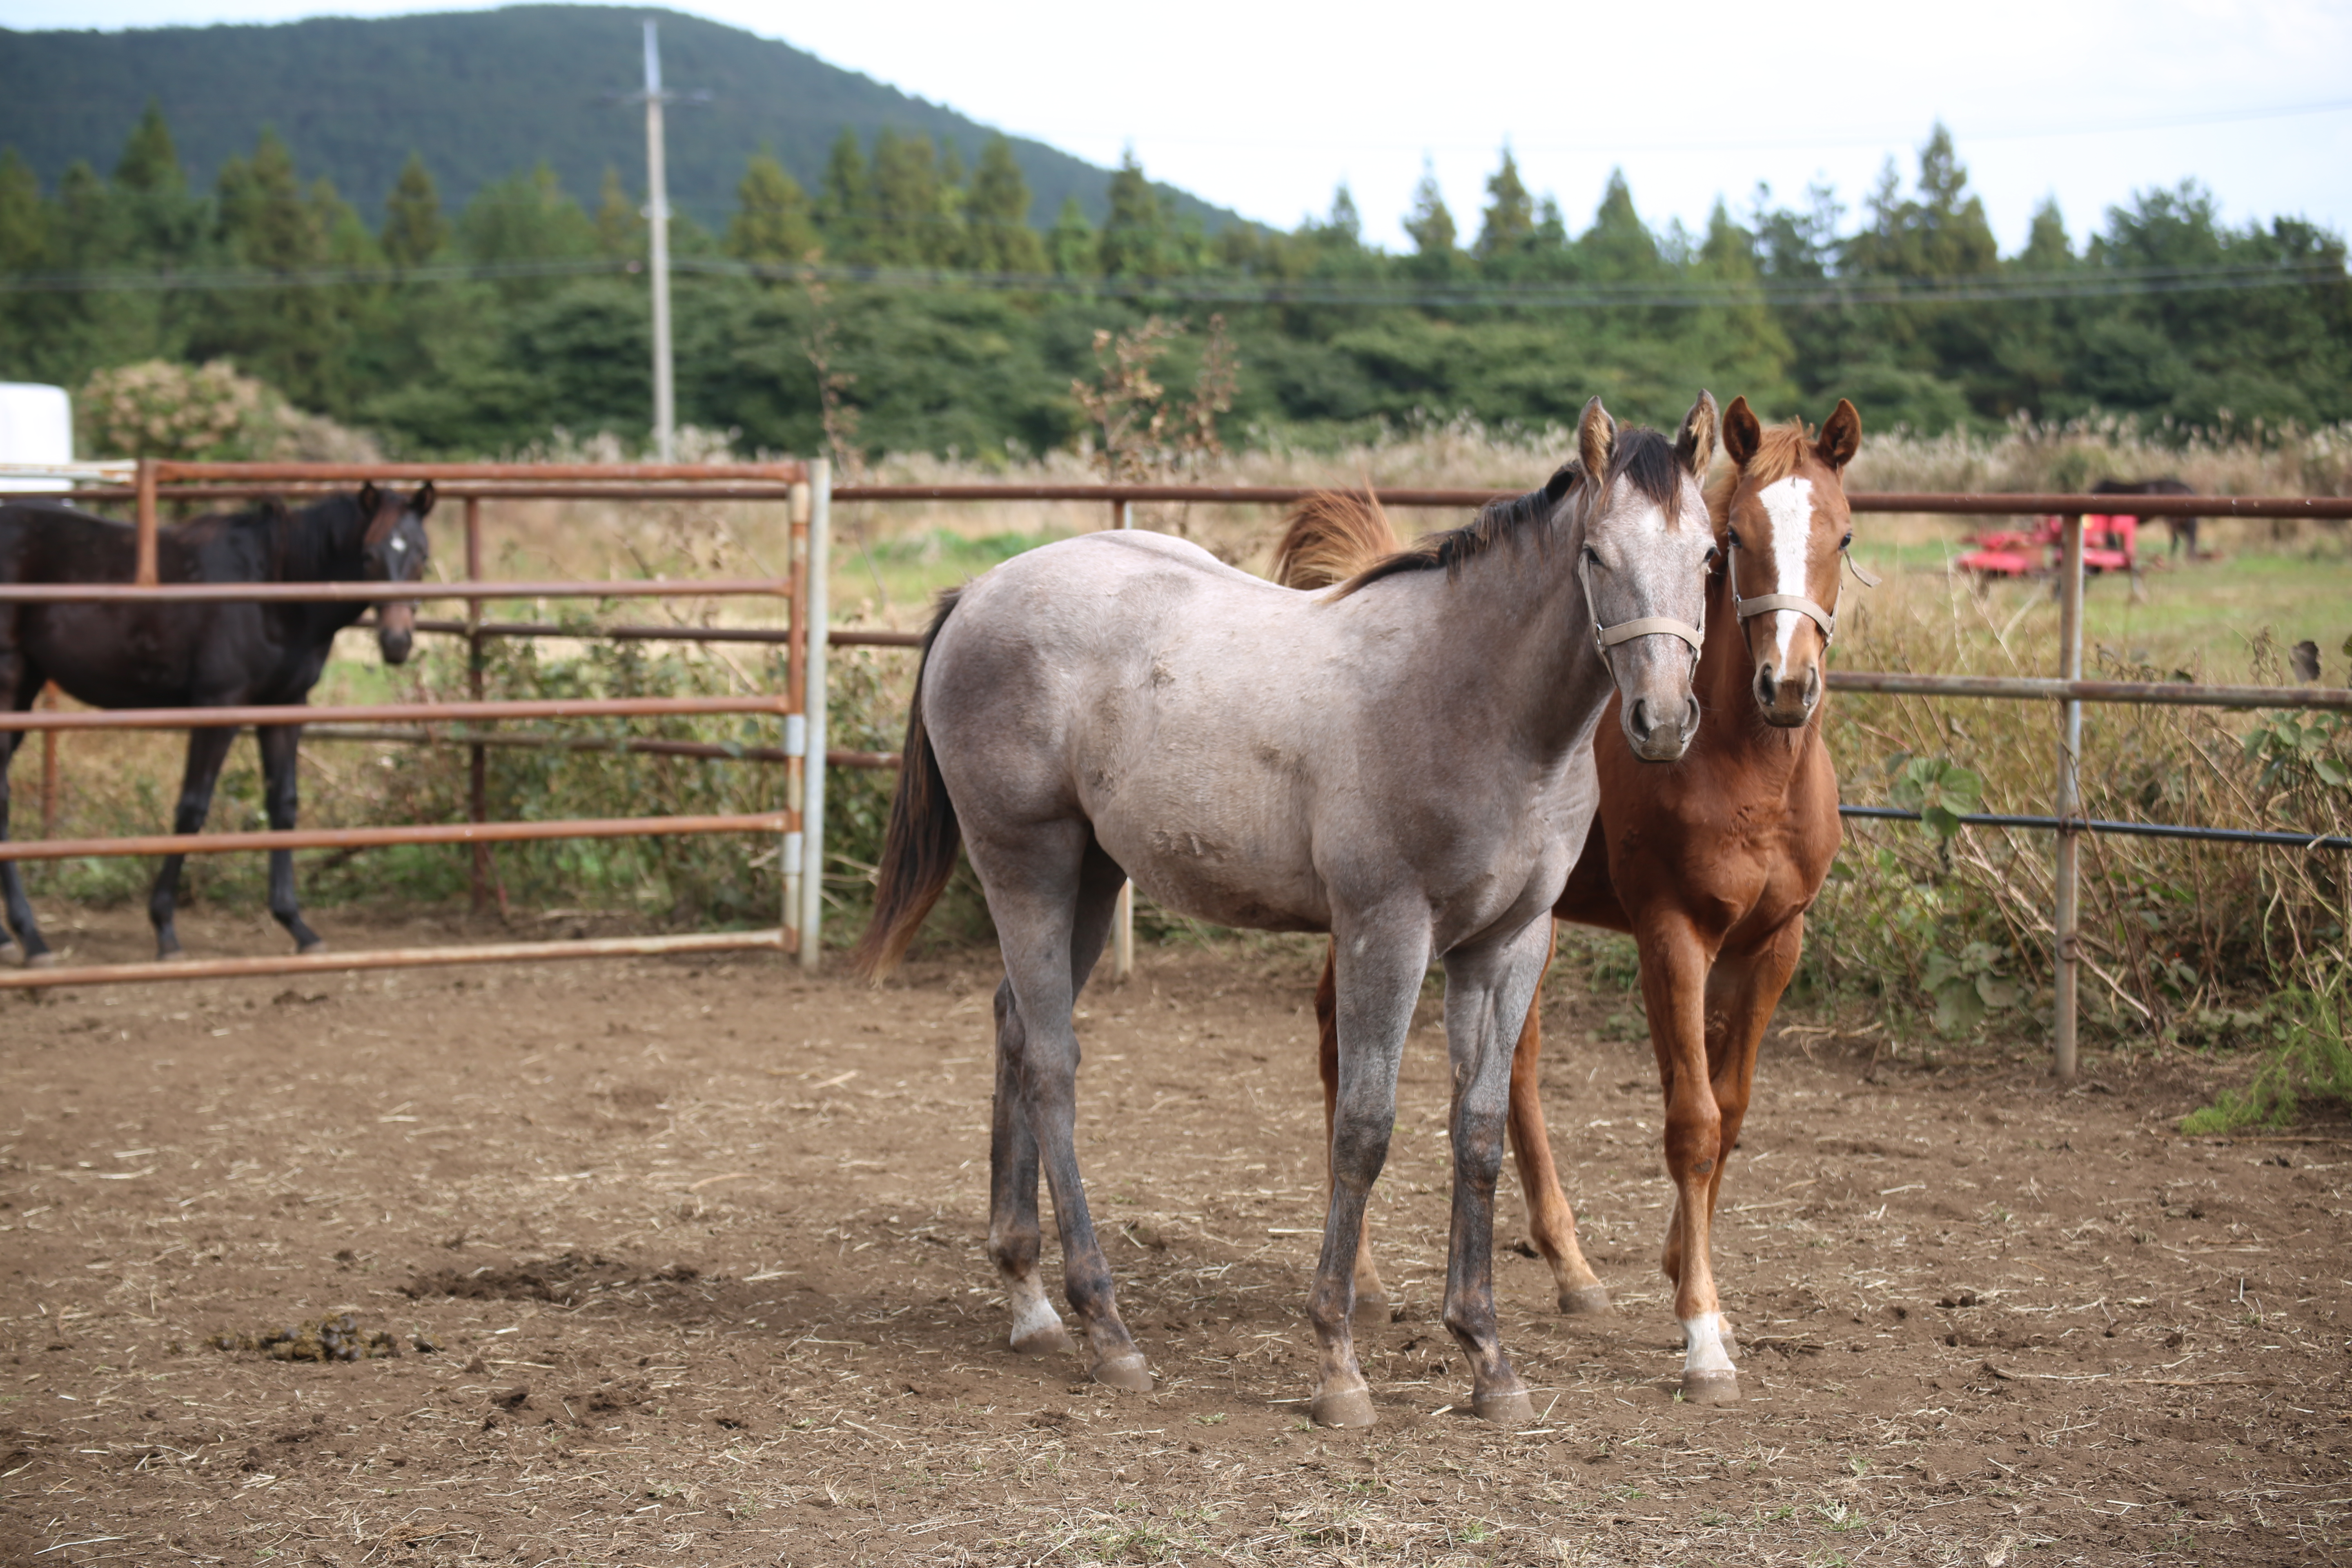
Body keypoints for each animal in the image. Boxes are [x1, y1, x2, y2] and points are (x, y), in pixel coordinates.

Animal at [1, 484, 437, 964]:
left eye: (423, 554)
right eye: (369, 555)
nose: (397, 643)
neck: (275, 589)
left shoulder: (284, 707)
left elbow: (284, 805)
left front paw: (297, 925)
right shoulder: (220, 705)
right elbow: (192, 808)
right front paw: (165, 928)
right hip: (10, 684)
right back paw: (32, 938)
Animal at [1279, 399, 1862, 1401]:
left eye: (1845, 534)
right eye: (1736, 542)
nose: (1786, 687)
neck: (1747, 768)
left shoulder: (1774, 943)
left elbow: (1730, 1108)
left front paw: (1694, 1286)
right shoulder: (1671, 932)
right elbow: (1692, 1120)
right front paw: (1700, 1335)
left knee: (1510, 1072)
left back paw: (1572, 1269)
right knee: (1339, 1042)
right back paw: (1368, 1281)